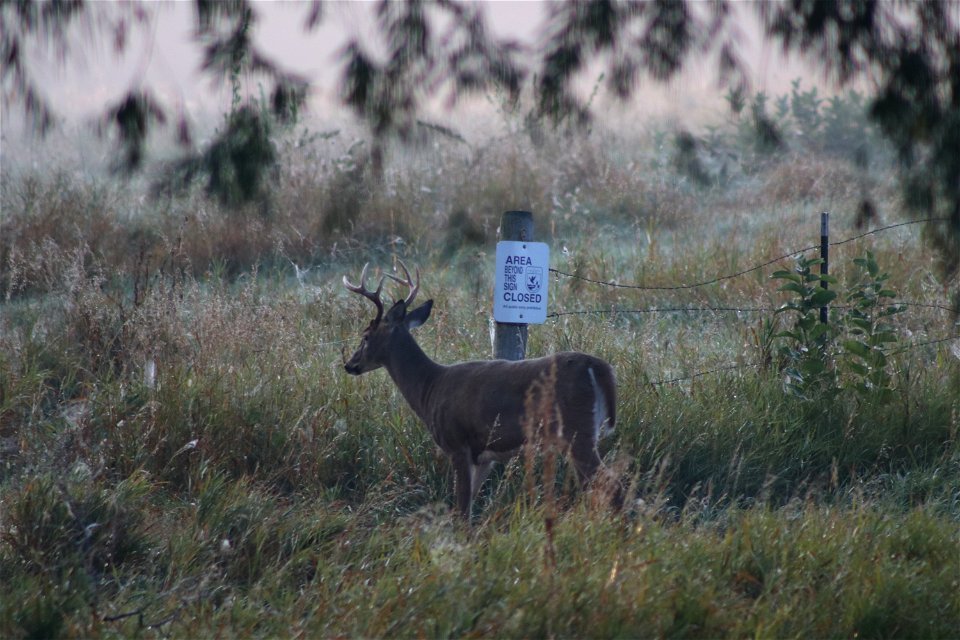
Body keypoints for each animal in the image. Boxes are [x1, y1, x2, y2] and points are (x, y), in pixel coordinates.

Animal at [344, 262, 624, 516]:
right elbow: (470, 503)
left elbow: (461, 509)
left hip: (577, 429)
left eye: (365, 336)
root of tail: (597, 366)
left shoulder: (457, 443)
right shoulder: (484, 456)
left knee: (610, 483)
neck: (429, 388)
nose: (349, 364)